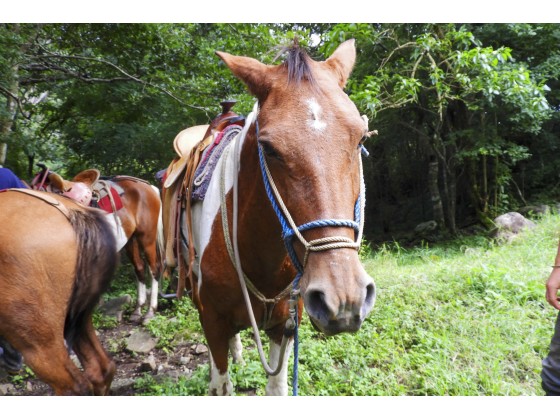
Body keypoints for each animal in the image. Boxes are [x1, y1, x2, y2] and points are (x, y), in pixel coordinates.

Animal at [31, 168, 165, 324]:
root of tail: (149, 187)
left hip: (147, 237)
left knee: (154, 268)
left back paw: (150, 311)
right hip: (131, 240)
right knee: (140, 268)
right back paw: (137, 310)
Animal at [164, 37, 378, 396]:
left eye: (360, 138)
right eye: (270, 148)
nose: (343, 298)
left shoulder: (286, 325)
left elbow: (277, 388)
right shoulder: (212, 321)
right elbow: (221, 383)